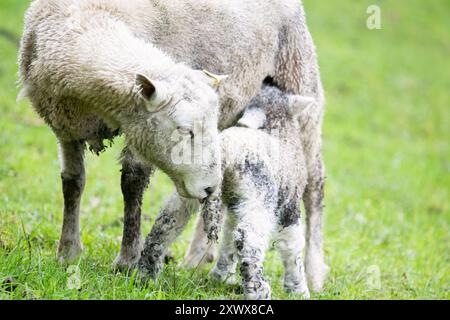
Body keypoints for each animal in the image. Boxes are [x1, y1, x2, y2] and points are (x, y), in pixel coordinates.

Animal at [200, 85, 320, 300]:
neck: (278, 129)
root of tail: (227, 152)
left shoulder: (236, 205)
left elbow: (228, 238)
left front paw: (221, 276)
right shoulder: (290, 205)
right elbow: (292, 245)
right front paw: (298, 289)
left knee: (235, 235)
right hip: (261, 195)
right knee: (248, 239)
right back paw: (257, 290)